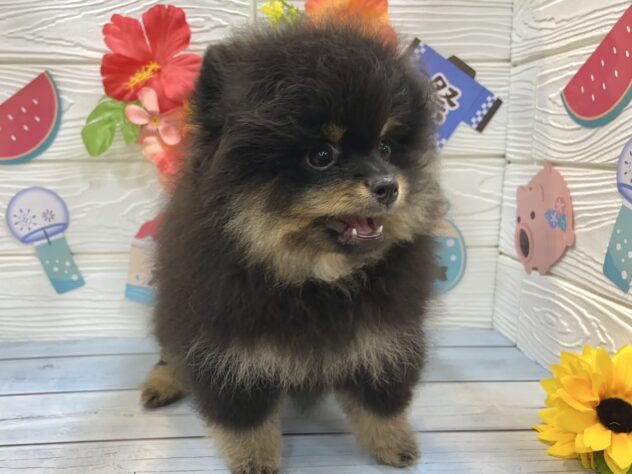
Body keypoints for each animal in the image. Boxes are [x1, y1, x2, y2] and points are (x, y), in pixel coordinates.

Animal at [141, 18, 442, 474]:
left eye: (386, 147)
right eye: (321, 155)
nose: (389, 186)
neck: (312, 277)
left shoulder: (383, 333)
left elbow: (381, 399)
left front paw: (393, 441)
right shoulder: (228, 346)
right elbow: (246, 417)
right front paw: (254, 459)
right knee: (171, 349)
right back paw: (162, 381)